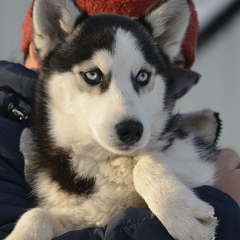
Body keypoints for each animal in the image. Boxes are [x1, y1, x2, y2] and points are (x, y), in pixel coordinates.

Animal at [6, 0, 219, 240]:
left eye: (143, 76)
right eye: (93, 75)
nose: (132, 130)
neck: (107, 160)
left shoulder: (200, 165)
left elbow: (144, 162)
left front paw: (181, 212)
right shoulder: (80, 216)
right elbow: (36, 214)